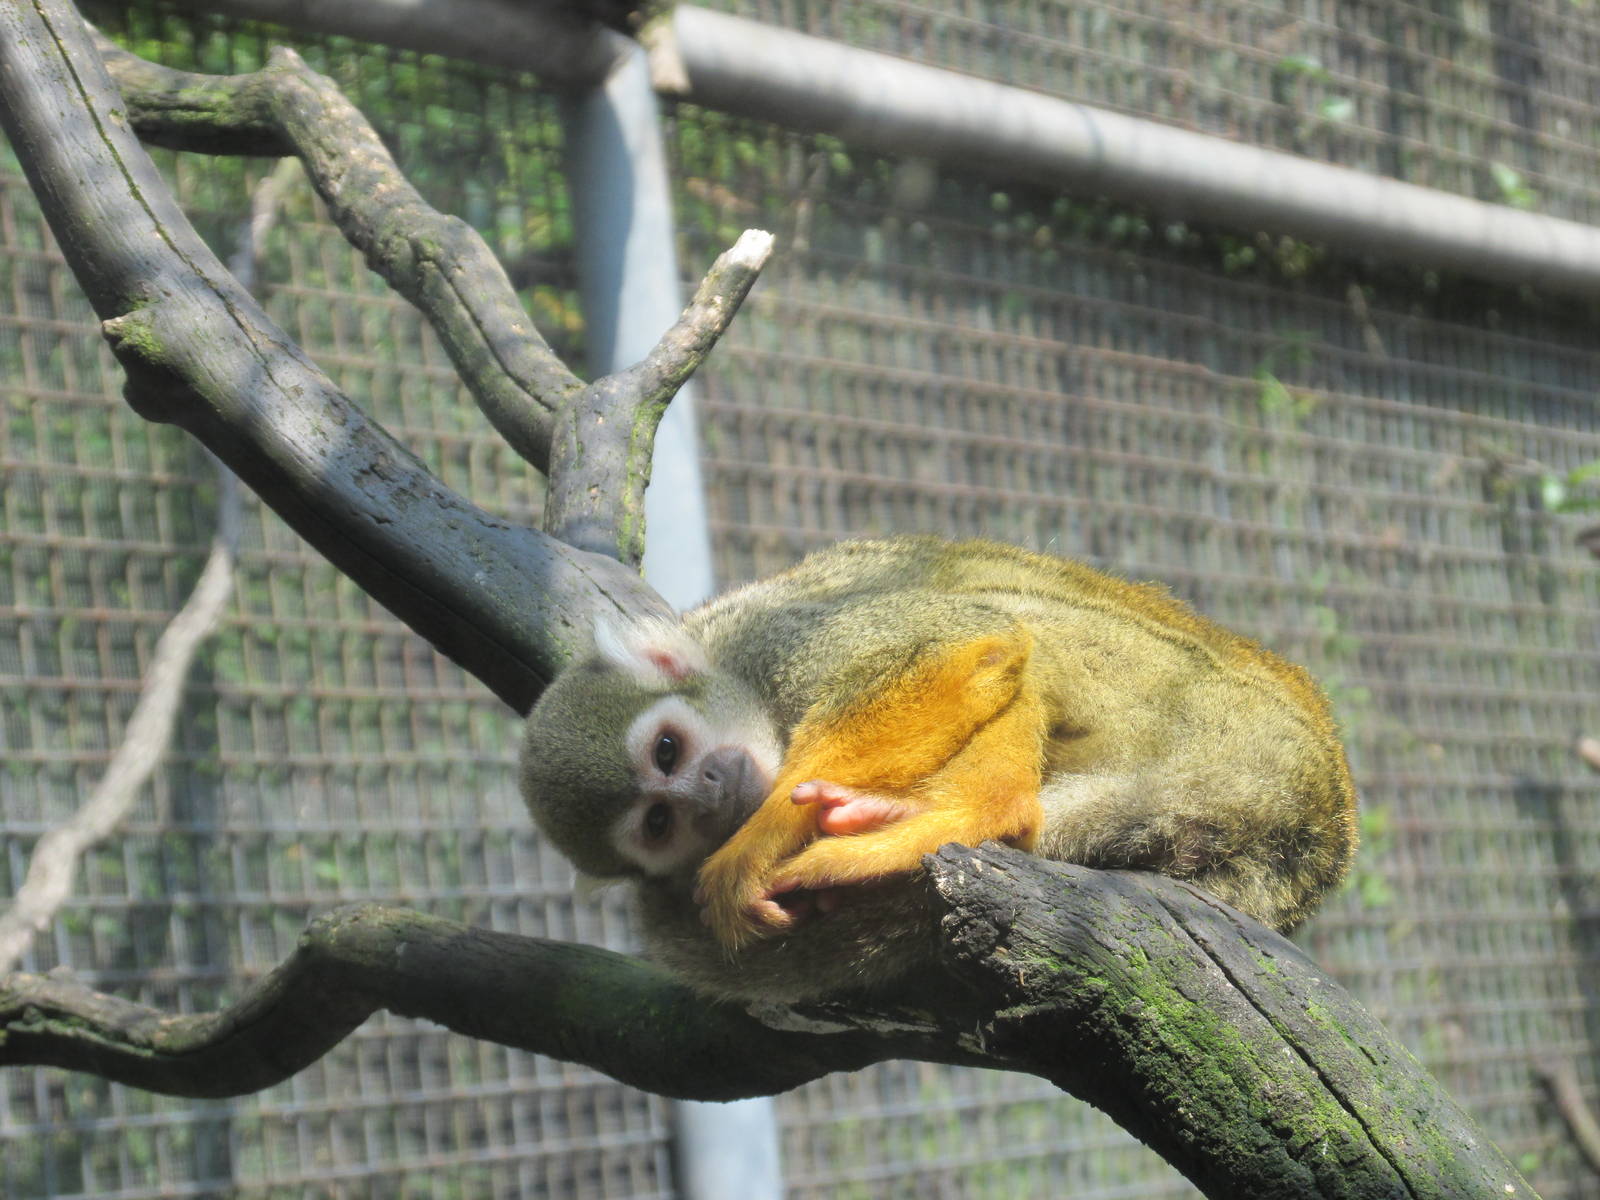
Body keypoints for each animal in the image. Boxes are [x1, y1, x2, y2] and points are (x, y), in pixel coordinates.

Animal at [519, 536, 1358, 1002]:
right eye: (659, 822)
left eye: (669, 751)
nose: (712, 791)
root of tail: (1316, 819)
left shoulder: (776, 638)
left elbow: (954, 644)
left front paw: (753, 844)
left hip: (1191, 707)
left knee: (1016, 629)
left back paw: (974, 812)